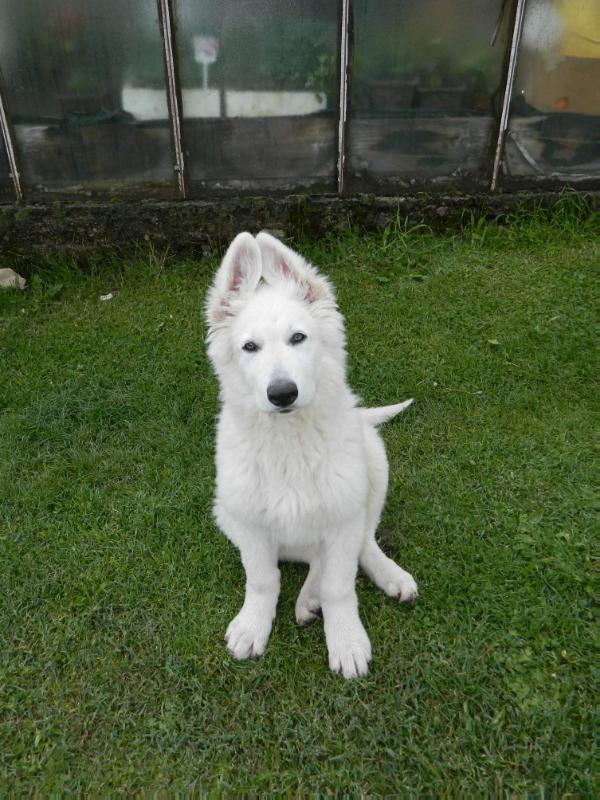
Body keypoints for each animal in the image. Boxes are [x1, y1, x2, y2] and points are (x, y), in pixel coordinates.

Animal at [206, 230, 418, 676]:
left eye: (298, 338)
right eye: (249, 347)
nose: (282, 393)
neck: (289, 441)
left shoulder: (342, 515)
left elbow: (340, 585)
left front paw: (346, 640)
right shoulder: (249, 522)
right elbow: (262, 580)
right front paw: (253, 625)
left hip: (373, 461)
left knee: (362, 542)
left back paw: (382, 576)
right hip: (224, 510)